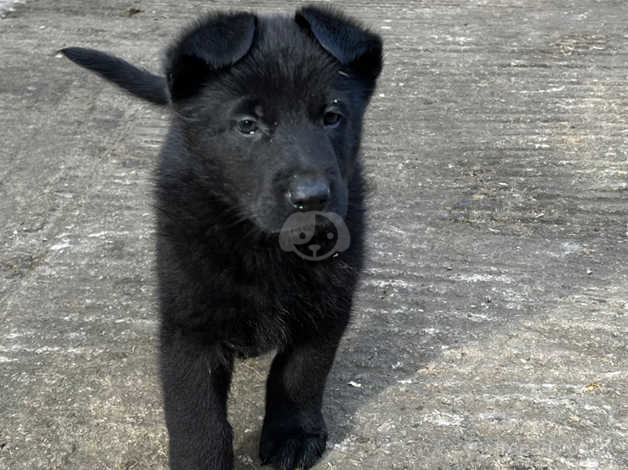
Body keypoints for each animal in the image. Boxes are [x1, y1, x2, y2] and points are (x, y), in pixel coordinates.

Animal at [61, 4, 380, 470]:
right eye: (247, 125)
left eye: (332, 117)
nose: (312, 197)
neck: (264, 243)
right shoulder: (188, 323)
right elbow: (197, 412)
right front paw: (202, 459)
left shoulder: (328, 305)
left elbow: (300, 374)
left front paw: (293, 434)